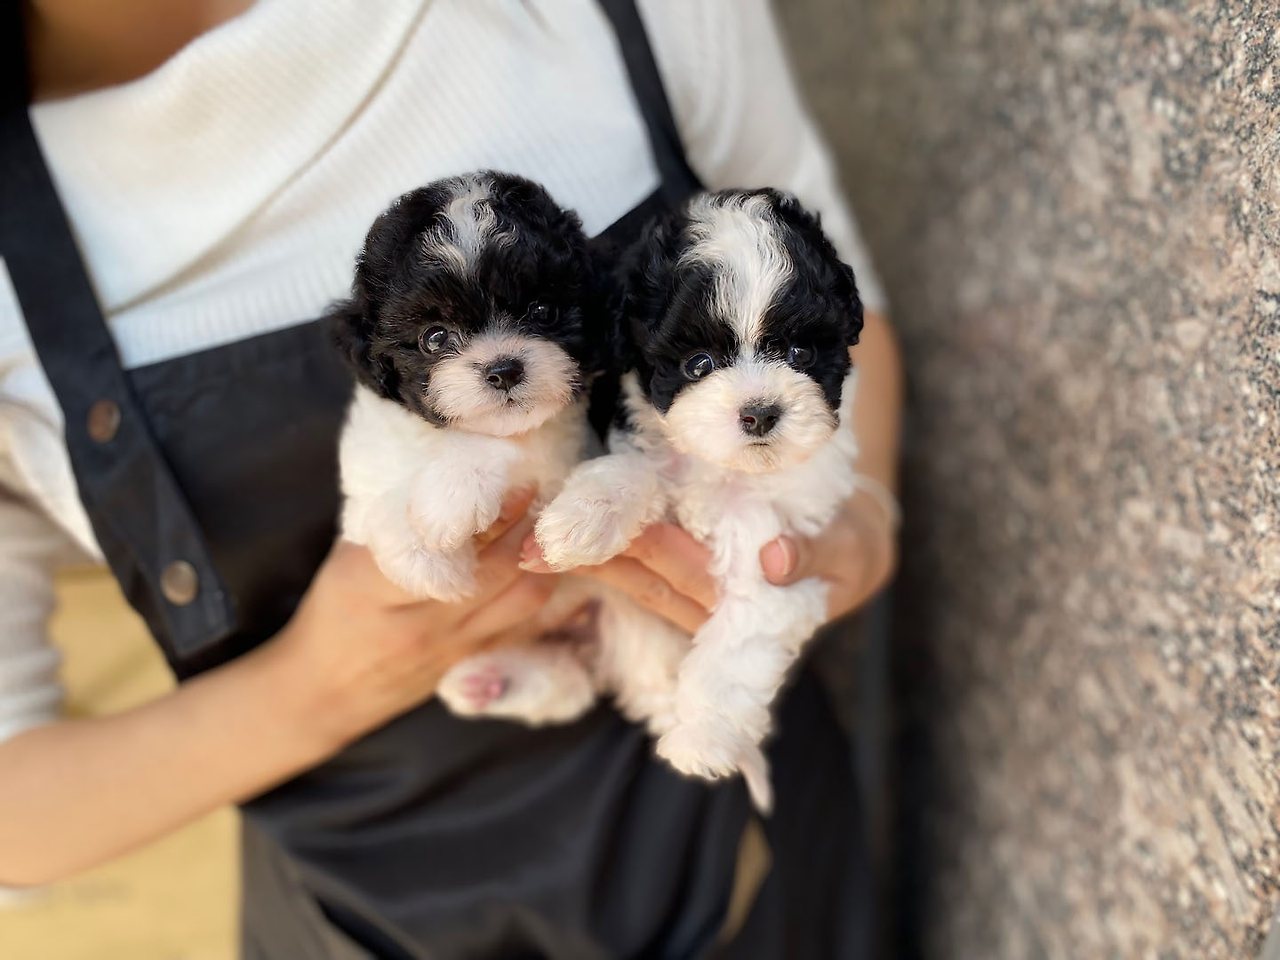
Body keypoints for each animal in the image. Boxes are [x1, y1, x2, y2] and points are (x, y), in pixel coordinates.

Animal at [535, 188, 865, 804]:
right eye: (699, 364)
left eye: (800, 354)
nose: (759, 412)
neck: (724, 471)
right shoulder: (649, 447)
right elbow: (634, 470)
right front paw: (581, 520)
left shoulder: (775, 556)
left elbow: (735, 648)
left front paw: (703, 739)